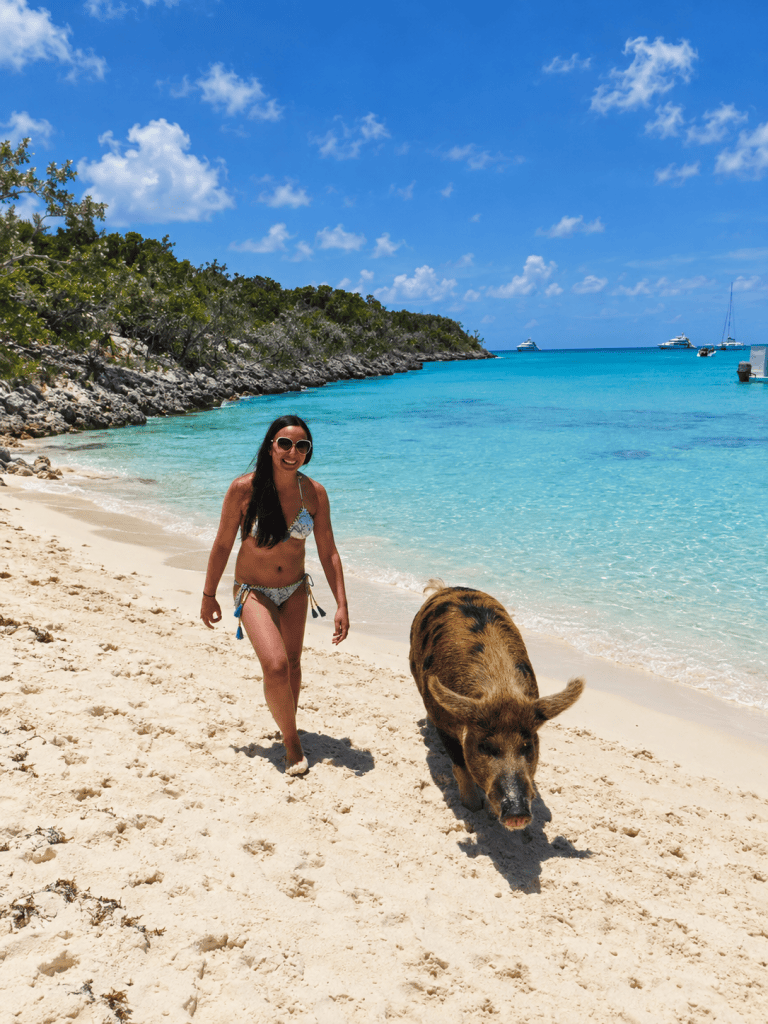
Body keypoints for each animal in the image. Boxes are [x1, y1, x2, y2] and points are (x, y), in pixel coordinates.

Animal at [409, 581, 584, 830]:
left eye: (527, 746)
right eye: (485, 746)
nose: (517, 813)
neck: (500, 689)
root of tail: (446, 588)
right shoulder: (444, 720)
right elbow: (460, 763)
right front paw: (472, 807)